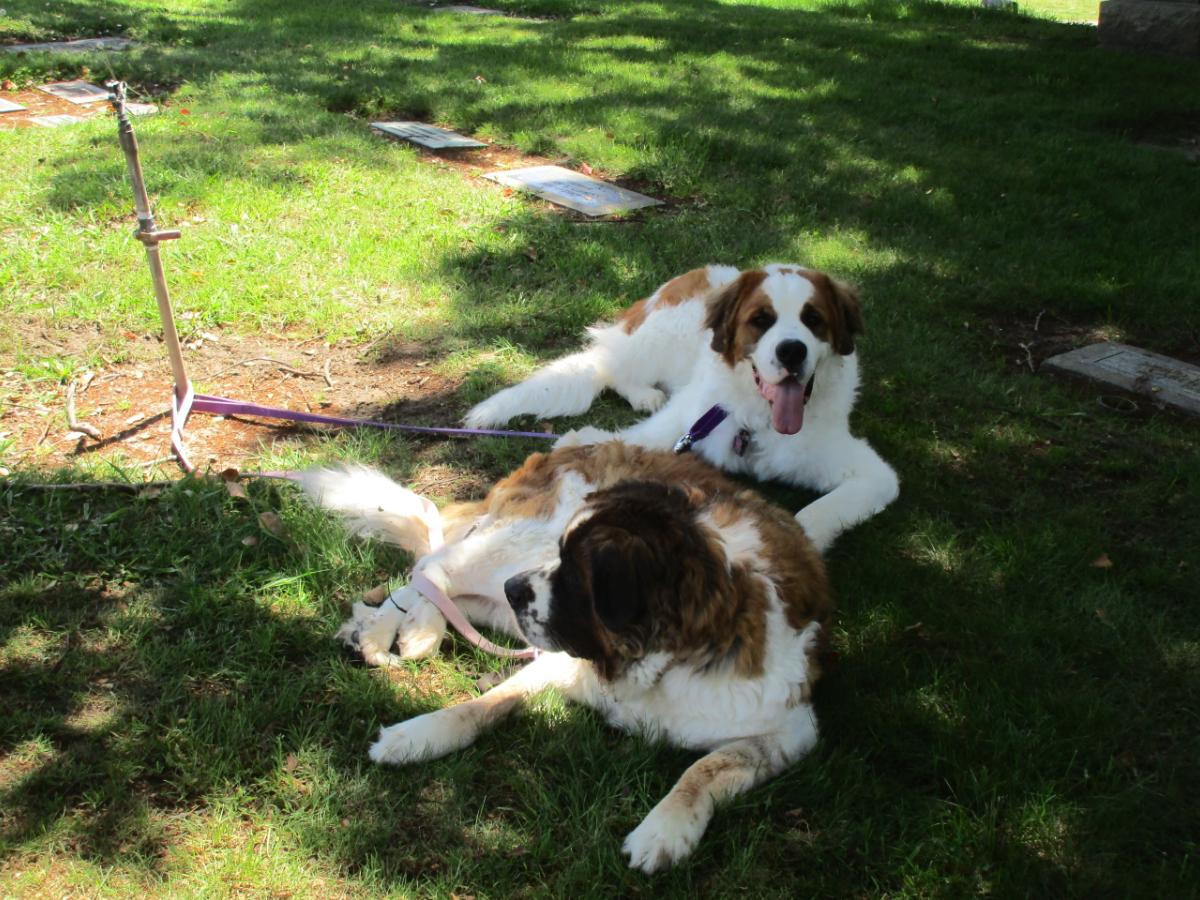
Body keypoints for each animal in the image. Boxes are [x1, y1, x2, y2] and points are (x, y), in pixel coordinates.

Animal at [299, 442, 832, 872]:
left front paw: (664, 830)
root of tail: (568, 448)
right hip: (512, 545)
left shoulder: (791, 729)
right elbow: (484, 705)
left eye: (576, 573)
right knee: (432, 565)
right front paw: (416, 736)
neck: (657, 659)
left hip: (500, 598)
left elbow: (704, 770)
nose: (516, 590)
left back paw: (409, 628)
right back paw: (391, 632)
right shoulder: (564, 659)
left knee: (444, 586)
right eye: (562, 556)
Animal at [464, 264, 899, 553]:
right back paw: (644, 393)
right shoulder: (692, 416)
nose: (792, 351)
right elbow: (634, 440)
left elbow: (820, 511)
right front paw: (583, 441)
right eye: (761, 320)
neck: (757, 421)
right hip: (660, 341)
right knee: (610, 368)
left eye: (814, 320)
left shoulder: (871, 474)